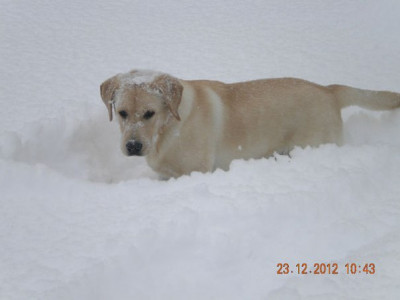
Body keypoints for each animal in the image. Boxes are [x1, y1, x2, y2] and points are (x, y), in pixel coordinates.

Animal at [101, 70, 400, 178]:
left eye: (149, 113)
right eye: (122, 112)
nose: (133, 145)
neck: (167, 130)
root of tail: (329, 90)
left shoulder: (195, 171)